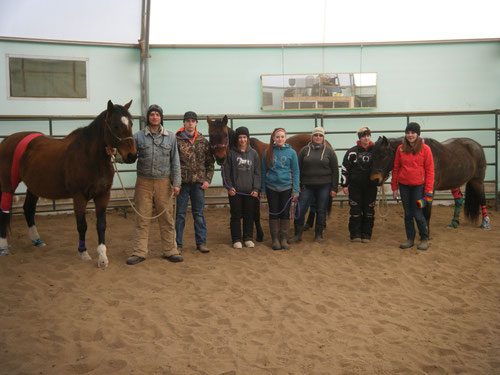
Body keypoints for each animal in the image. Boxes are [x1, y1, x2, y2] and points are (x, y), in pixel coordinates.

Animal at [0, 98, 137, 266]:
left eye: (131, 124)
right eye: (116, 125)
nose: (132, 156)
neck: (90, 158)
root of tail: (7, 140)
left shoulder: (103, 195)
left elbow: (101, 225)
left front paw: (102, 257)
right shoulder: (79, 197)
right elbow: (82, 225)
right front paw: (83, 252)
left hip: (33, 186)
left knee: (29, 209)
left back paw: (37, 241)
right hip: (7, 185)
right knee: (4, 211)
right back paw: (4, 247)